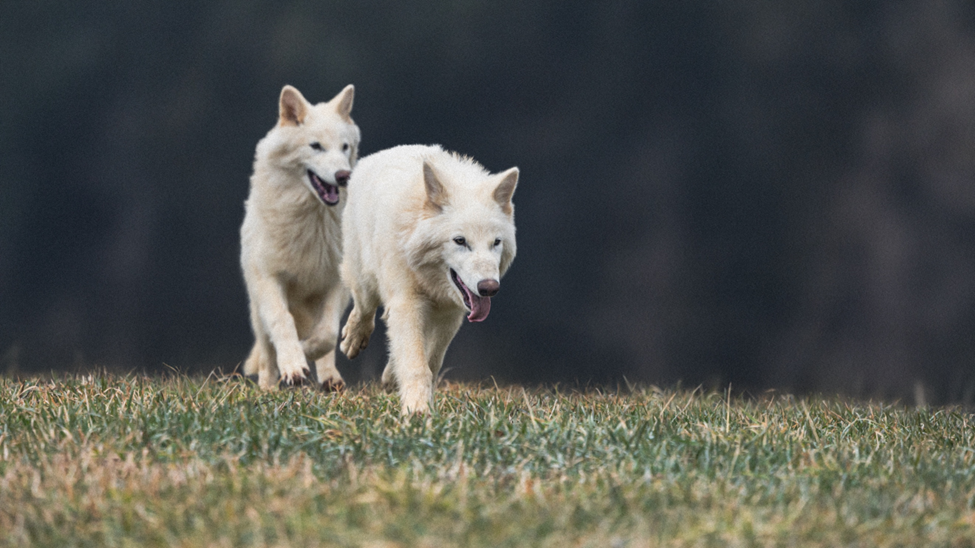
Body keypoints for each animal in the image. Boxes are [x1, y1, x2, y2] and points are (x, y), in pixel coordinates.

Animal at [240, 84, 360, 389]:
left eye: (345, 147)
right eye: (316, 146)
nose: (343, 176)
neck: (312, 221)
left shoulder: (336, 283)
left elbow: (328, 333)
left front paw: (305, 352)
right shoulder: (270, 279)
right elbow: (283, 323)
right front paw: (293, 367)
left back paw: (330, 380)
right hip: (257, 308)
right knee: (267, 350)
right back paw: (269, 386)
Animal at [339, 145, 519, 414]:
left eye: (496, 242)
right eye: (460, 241)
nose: (489, 288)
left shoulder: (451, 314)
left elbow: (431, 362)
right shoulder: (407, 302)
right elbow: (416, 365)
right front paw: (417, 411)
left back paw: (390, 374)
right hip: (365, 280)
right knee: (364, 308)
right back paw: (353, 338)